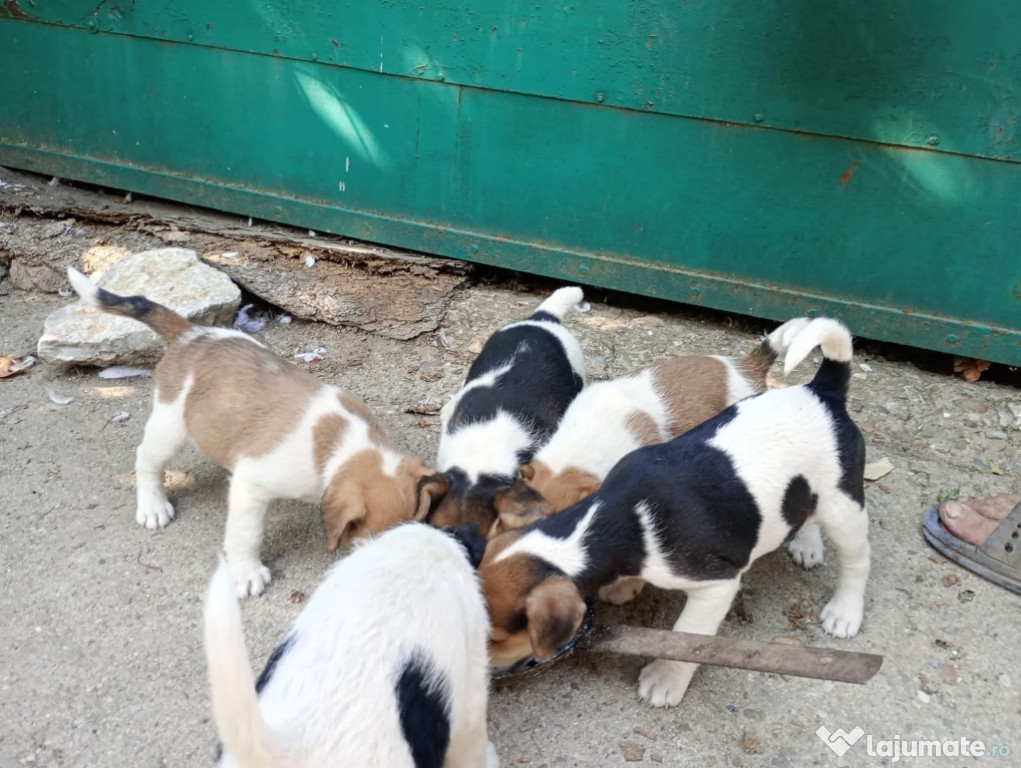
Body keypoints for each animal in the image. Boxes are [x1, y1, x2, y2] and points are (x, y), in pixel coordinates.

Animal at [67, 267, 434, 596]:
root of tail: (191, 334)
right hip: (170, 426)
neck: (341, 443)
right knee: (147, 460)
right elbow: (247, 535)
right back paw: (153, 507)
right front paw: (246, 574)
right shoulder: (251, 486)